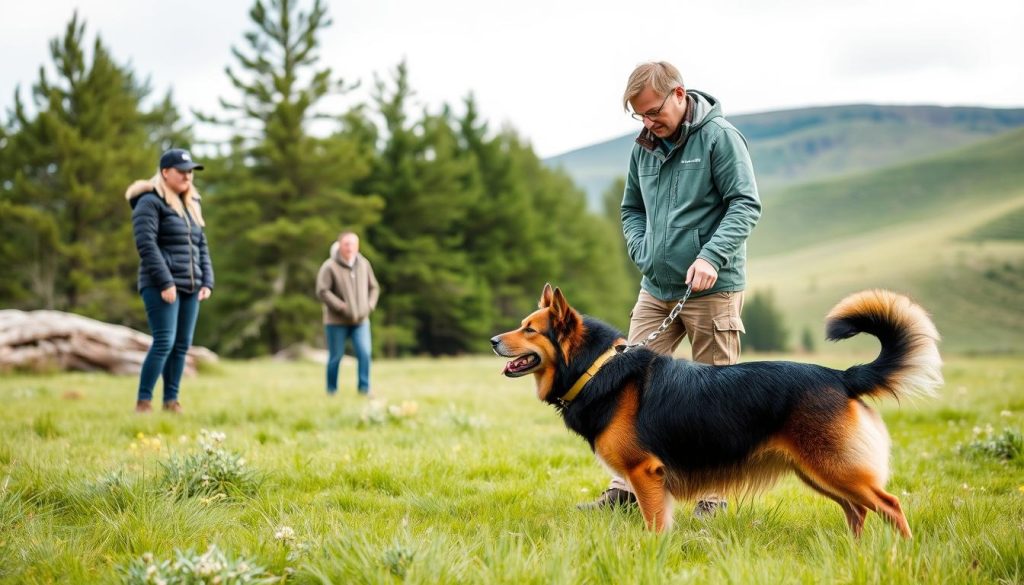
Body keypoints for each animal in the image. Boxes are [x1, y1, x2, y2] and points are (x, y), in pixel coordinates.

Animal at [491, 284, 937, 536]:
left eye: (530, 330)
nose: (494, 340)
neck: (596, 367)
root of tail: (842, 376)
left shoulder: (645, 474)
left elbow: (654, 525)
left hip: (835, 468)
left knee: (889, 506)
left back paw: (899, 555)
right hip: (819, 472)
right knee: (857, 510)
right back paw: (856, 552)